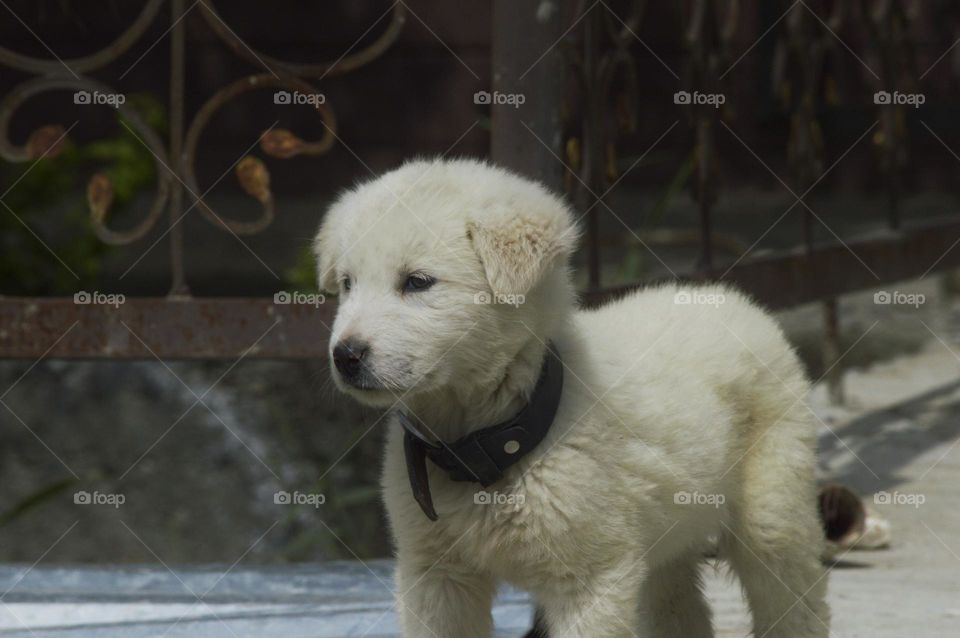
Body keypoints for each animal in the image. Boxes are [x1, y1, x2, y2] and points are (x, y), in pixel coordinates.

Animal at [314, 158, 824, 636]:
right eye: (347, 283)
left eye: (417, 282)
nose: (346, 355)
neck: (484, 443)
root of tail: (729, 298)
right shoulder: (434, 575)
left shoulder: (590, 579)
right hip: (668, 537)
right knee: (678, 609)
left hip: (772, 507)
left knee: (797, 600)